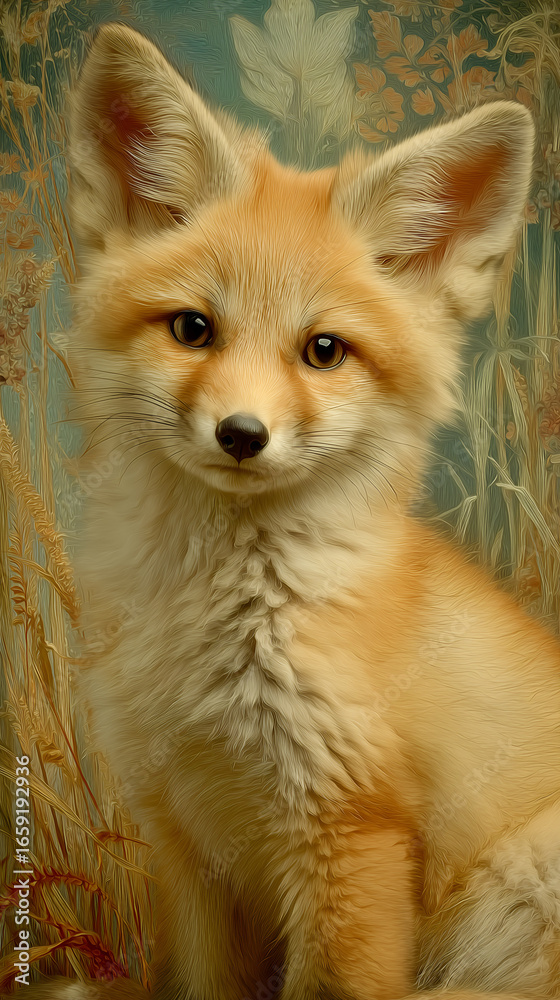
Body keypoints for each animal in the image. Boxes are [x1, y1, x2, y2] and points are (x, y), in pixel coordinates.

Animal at [14, 20, 560, 1000]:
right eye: (193, 329)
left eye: (324, 351)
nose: (242, 434)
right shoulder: (183, 842)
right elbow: (202, 983)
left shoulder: (352, 839)